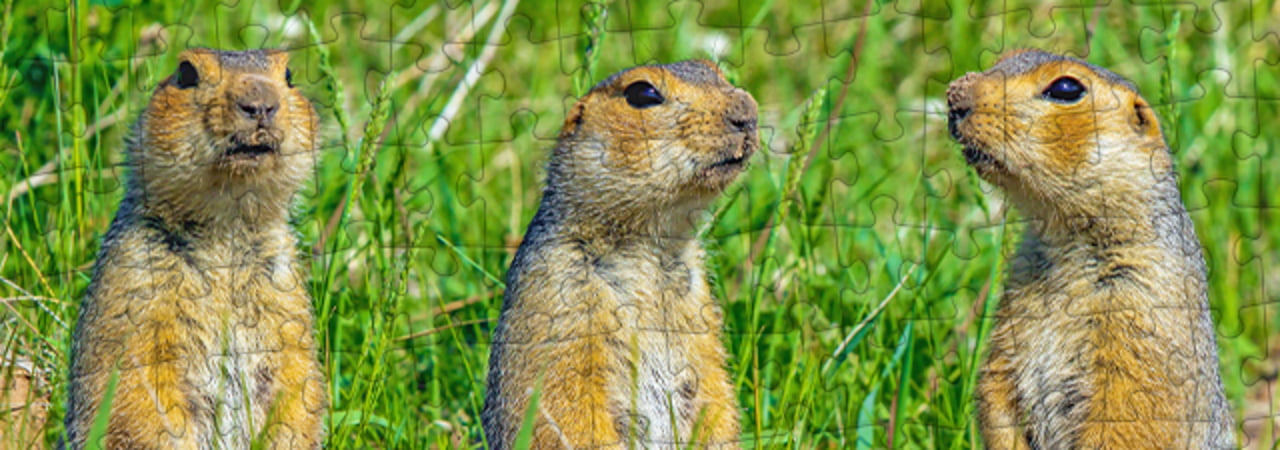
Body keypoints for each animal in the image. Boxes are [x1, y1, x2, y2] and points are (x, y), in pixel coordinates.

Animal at [63, 49, 327, 450]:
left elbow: (300, 379)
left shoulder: (286, 294)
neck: (225, 231)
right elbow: (130, 388)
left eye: (290, 75)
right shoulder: (132, 281)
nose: (261, 104)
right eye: (186, 73)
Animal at [481, 60, 757, 450]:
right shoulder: (555, 301)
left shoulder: (702, 313)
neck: (650, 247)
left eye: (715, 71)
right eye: (642, 92)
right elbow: (560, 401)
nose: (747, 112)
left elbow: (715, 388)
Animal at [952, 49, 1228, 450]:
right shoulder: (1013, 308)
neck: (1066, 242)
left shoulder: (1145, 312)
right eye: (1005, 56)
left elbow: (1131, 415)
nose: (954, 96)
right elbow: (996, 383)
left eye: (1066, 88)